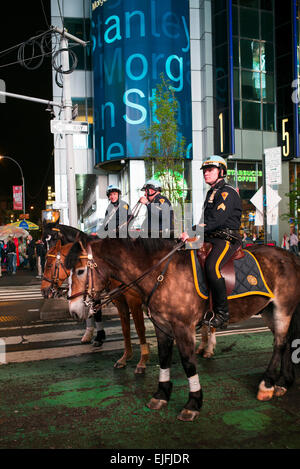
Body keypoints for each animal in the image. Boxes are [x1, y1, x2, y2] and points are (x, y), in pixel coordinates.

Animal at [40, 238, 150, 372]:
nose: (44, 291)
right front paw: (125, 356)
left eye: (49, 265)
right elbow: (125, 329)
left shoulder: (134, 302)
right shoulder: (119, 302)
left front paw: (143, 360)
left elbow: (140, 329)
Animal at [65, 236, 300, 422]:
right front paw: (161, 394)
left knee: (279, 343)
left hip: (283, 308)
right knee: (287, 341)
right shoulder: (162, 326)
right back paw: (283, 382)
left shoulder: (183, 327)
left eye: (80, 271)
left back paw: (267, 385)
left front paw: (193, 403)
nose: (74, 312)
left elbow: (188, 363)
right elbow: (164, 357)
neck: (161, 274)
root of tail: (290, 256)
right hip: (268, 310)